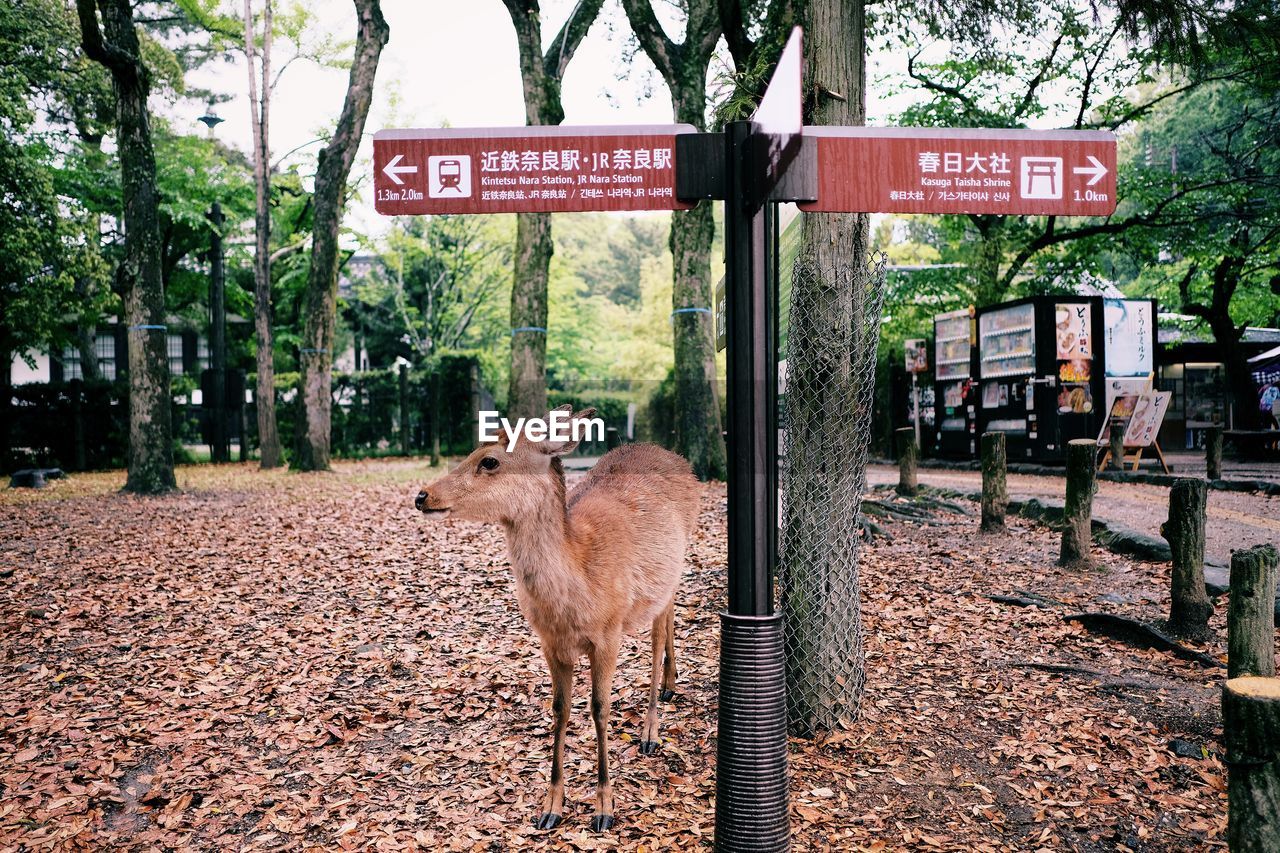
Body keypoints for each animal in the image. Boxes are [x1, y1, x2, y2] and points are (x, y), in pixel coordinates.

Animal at [414, 404, 701, 829]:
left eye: (489, 460)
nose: (423, 495)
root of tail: (681, 461)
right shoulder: (550, 643)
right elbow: (559, 709)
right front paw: (550, 806)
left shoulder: (609, 633)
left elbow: (599, 708)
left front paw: (604, 807)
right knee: (668, 620)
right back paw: (670, 683)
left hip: (671, 570)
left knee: (656, 633)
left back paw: (651, 728)